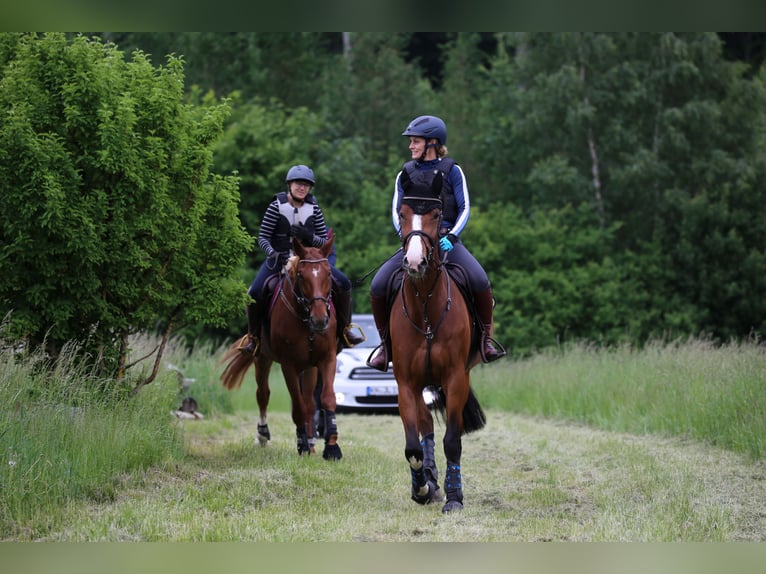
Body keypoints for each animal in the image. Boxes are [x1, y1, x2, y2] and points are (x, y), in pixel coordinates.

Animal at [222, 236, 342, 462]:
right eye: (301, 275)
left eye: (329, 274)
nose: (320, 320)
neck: (304, 317)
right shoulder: (288, 365)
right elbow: (297, 407)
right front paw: (302, 446)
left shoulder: (326, 358)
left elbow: (326, 399)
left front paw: (331, 447)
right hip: (262, 358)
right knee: (263, 394)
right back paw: (263, 434)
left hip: (309, 368)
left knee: (309, 402)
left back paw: (312, 441)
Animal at [390, 196, 486, 516]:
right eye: (402, 214)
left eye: (435, 215)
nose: (414, 262)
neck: (426, 307)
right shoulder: (407, 384)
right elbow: (413, 447)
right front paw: (421, 487)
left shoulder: (455, 379)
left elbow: (453, 441)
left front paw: (454, 496)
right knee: (426, 427)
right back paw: (429, 481)